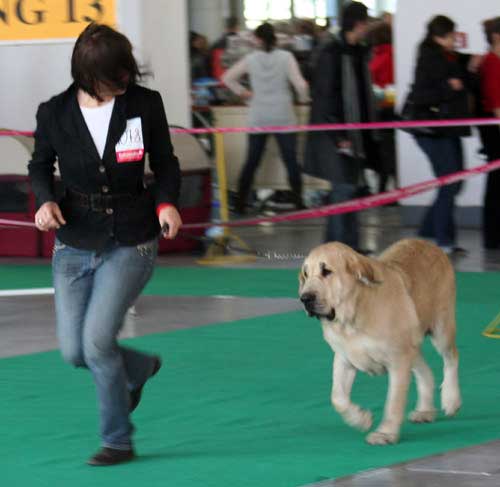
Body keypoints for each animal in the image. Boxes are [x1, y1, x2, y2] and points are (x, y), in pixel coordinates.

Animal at [298, 239, 462, 446]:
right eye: (305, 274)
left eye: (326, 271)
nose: (305, 298)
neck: (353, 317)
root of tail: (431, 244)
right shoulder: (344, 358)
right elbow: (337, 397)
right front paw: (361, 418)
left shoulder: (398, 359)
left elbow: (394, 401)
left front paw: (385, 433)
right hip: (412, 344)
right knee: (426, 370)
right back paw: (424, 410)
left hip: (441, 327)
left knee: (451, 357)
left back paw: (451, 400)